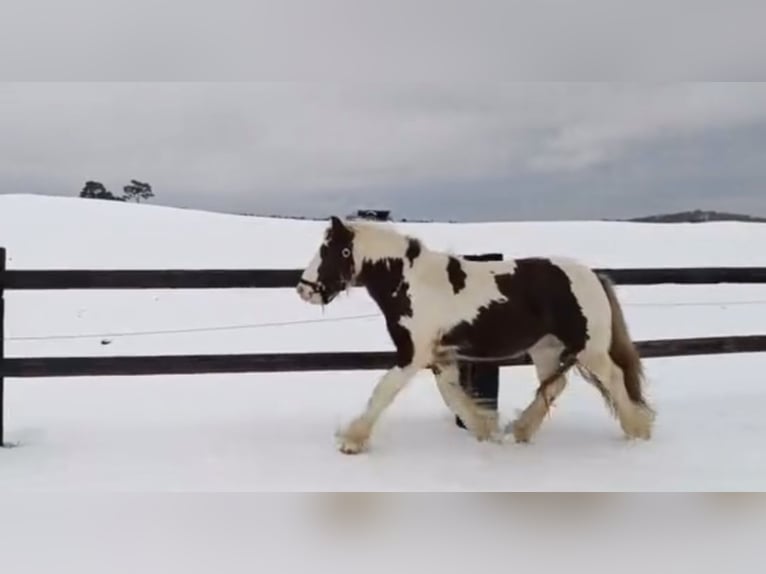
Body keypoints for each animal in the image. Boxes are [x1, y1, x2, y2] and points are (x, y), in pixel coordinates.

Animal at [296, 218, 656, 456]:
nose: (304, 289)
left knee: (614, 378)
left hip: (590, 348)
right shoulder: (441, 356)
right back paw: (520, 431)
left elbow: (384, 391)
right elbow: (453, 395)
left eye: (330, 250)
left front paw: (351, 441)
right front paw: (485, 430)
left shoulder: (413, 353)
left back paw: (637, 431)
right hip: (546, 349)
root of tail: (594, 276)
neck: (411, 284)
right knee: (554, 386)